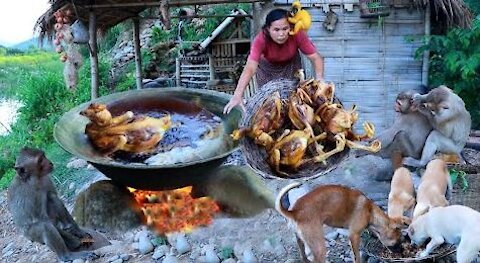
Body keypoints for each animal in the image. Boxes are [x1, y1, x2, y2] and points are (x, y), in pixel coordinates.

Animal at [276, 184, 404, 263]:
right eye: (397, 241)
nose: (402, 252)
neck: (370, 211)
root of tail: (295, 212)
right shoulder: (354, 236)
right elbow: (356, 256)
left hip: (300, 240)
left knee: (303, 255)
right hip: (319, 246)